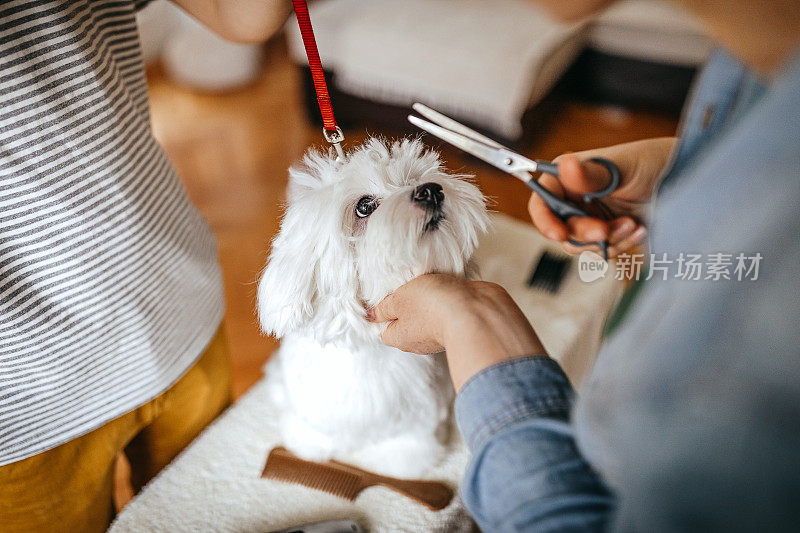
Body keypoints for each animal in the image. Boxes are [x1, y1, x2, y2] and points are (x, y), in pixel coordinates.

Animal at [260, 137, 490, 478]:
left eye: (415, 177)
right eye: (364, 206)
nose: (431, 190)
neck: (368, 348)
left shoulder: (419, 419)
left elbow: (403, 458)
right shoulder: (309, 414)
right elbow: (313, 439)